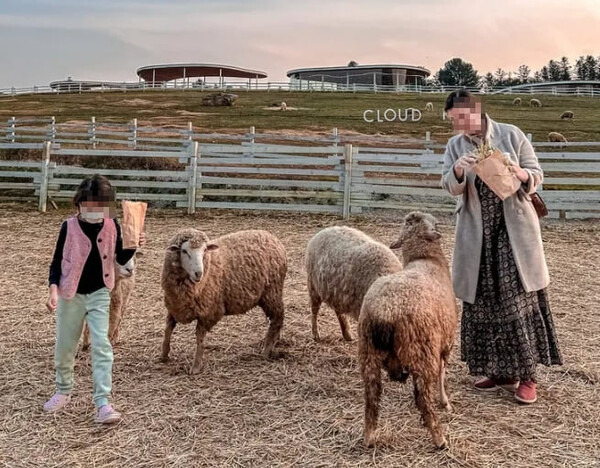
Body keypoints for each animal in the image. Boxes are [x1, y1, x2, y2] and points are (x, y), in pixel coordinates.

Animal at [159, 229, 286, 374]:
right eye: (184, 251)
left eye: (205, 250)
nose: (198, 273)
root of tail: (272, 237)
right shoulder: (174, 306)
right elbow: (168, 328)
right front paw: (164, 355)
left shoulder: (209, 312)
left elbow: (200, 338)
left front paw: (196, 366)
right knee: (276, 320)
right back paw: (274, 341)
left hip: (272, 292)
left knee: (278, 318)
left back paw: (267, 349)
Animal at [358, 212, 458, 450]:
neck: (426, 259)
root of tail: (386, 312)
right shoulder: (446, 342)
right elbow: (442, 373)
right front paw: (445, 402)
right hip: (422, 352)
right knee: (423, 398)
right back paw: (439, 439)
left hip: (368, 354)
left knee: (371, 397)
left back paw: (369, 437)